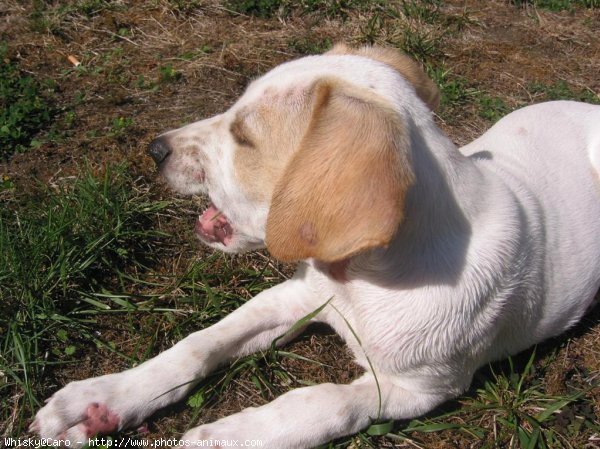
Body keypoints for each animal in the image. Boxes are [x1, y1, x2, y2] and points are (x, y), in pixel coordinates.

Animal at [31, 46, 600, 448]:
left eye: (243, 137)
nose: (154, 150)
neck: (364, 282)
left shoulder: (419, 388)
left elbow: (319, 403)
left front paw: (229, 435)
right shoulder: (297, 298)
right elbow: (200, 344)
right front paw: (103, 399)